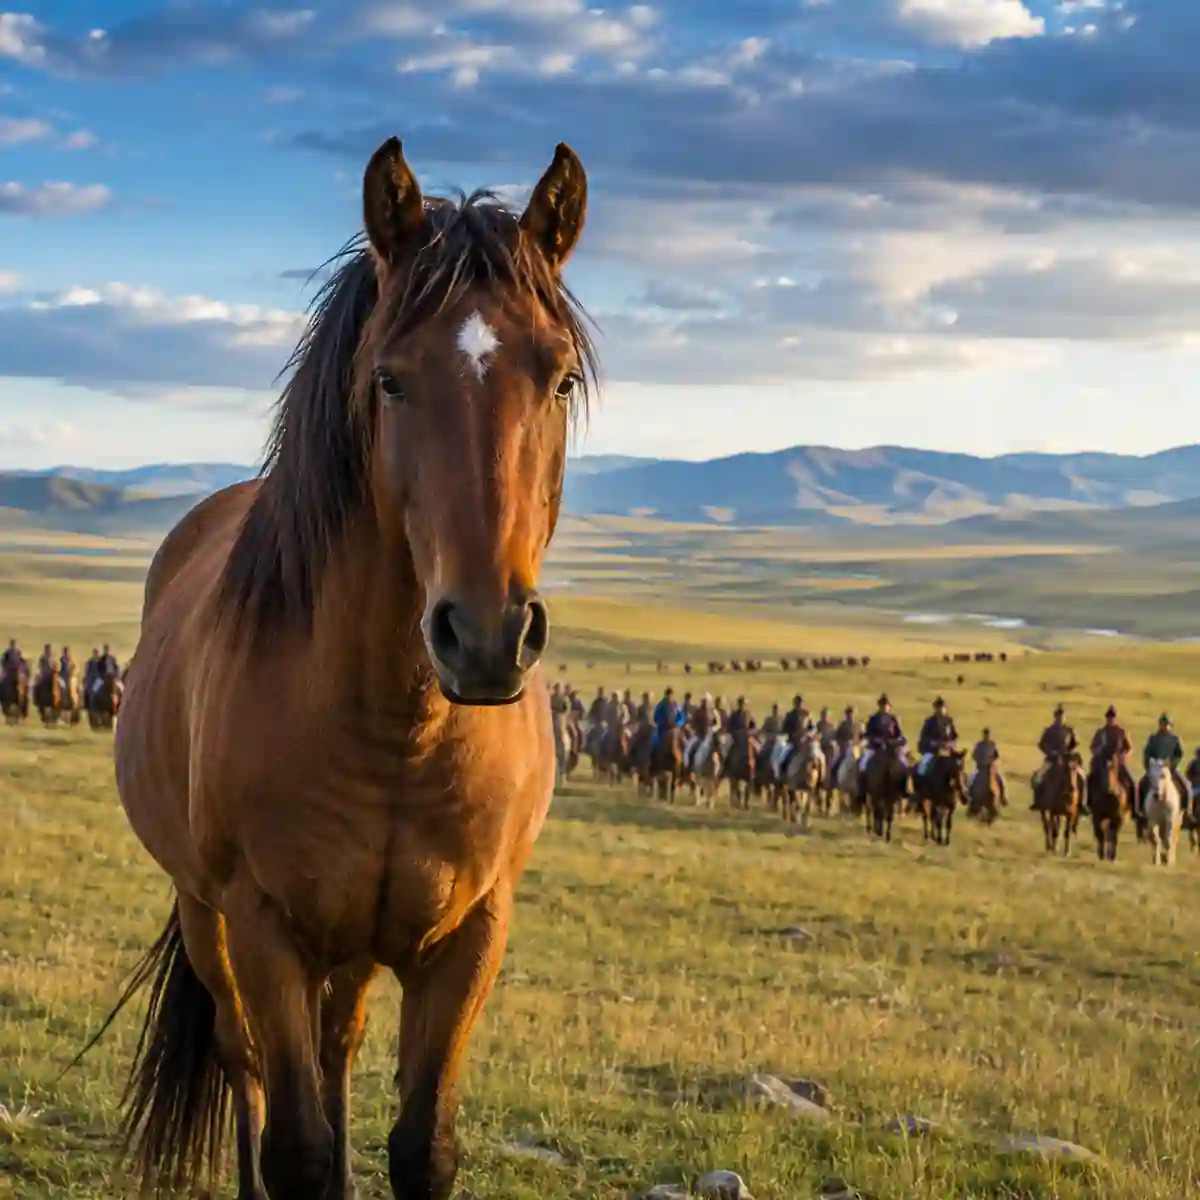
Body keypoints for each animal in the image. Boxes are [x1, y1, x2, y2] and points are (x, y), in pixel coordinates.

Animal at [80, 138, 597, 1200]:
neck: (399, 724)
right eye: (391, 381)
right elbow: (296, 1146)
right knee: (244, 1060)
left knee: (337, 1044)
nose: (486, 634)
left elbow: (422, 1145)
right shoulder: (264, 925)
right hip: (208, 915)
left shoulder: (471, 936)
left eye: (560, 380)